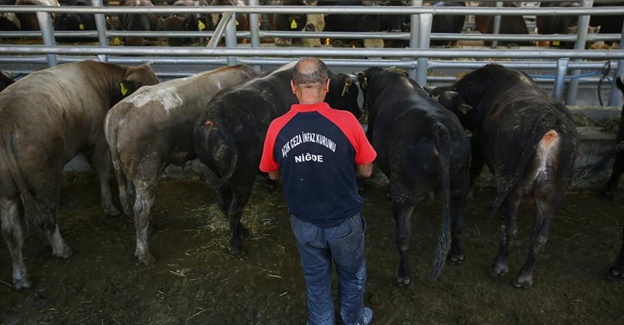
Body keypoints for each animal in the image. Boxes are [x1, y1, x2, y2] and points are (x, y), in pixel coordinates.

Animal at [0, 58, 158, 288]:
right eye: (143, 87)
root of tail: (7, 118)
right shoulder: (98, 141)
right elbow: (102, 172)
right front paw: (109, 206)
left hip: (7, 193)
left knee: (11, 232)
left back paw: (21, 277)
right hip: (45, 178)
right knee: (48, 216)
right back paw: (61, 249)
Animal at [103, 64, 260, 266]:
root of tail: (118, 113)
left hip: (130, 170)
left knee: (131, 197)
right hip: (147, 173)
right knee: (141, 209)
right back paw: (144, 255)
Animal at [356, 67, 468, 284]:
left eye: (364, 88)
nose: (363, 107)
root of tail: (438, 129)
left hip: (405, 195)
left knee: (403, 236)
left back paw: (404, 275)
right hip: (460, 185)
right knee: (458, 224)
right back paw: (456, 254)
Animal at [426, 63, 576, 286]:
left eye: (447, 107)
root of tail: (549, 119)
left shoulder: (478, 142)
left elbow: (475, 169)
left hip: (512, 188)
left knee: (510, 229)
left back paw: (499, 266)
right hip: (552, 196)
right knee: (539, 237)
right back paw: (525, 275)